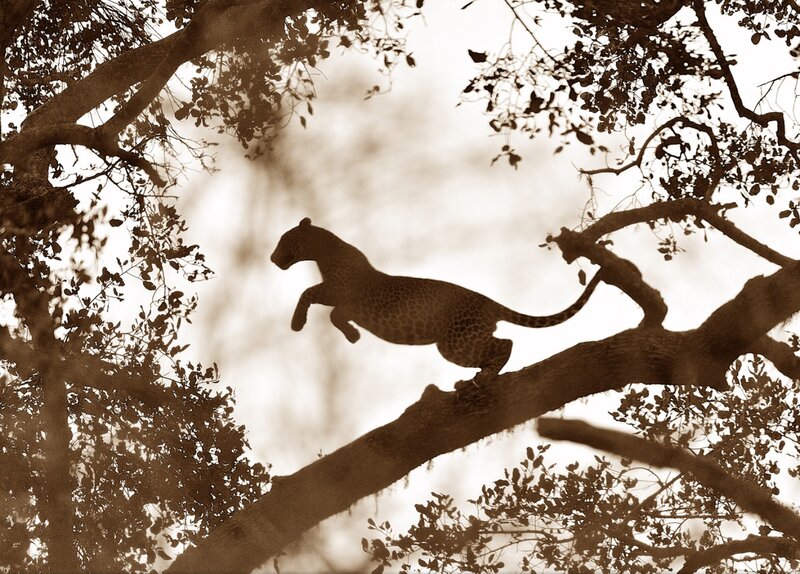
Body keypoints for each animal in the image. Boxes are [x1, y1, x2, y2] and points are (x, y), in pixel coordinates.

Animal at [271, 217, 602, 385]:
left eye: (284, 241)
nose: (272, 259)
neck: (322, 252)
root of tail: (488, 302)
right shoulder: (344, 301)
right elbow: (335, 315)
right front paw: (352, 335)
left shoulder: (339, 288)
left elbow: (308, 293)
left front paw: (297, 322)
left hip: (455, 342)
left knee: (506, 343)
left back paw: (484, 378)